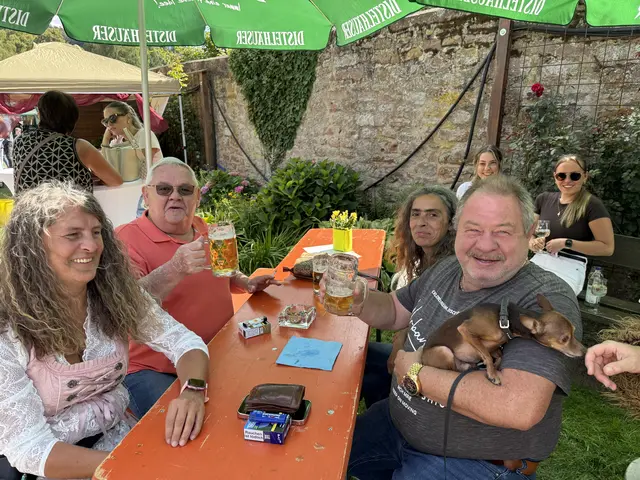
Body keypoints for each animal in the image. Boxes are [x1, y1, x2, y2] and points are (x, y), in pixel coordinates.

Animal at [419, 294, 585, 385]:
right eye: (565, 339)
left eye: (574, 331)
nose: (584, 351)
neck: (505, 319)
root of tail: (421, 358)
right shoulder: (465, 330)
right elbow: (486, 355)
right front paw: (493, 375)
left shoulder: (493, 346)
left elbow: (496, 355)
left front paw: (494, 367)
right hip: (444, 351)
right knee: (453, 368)